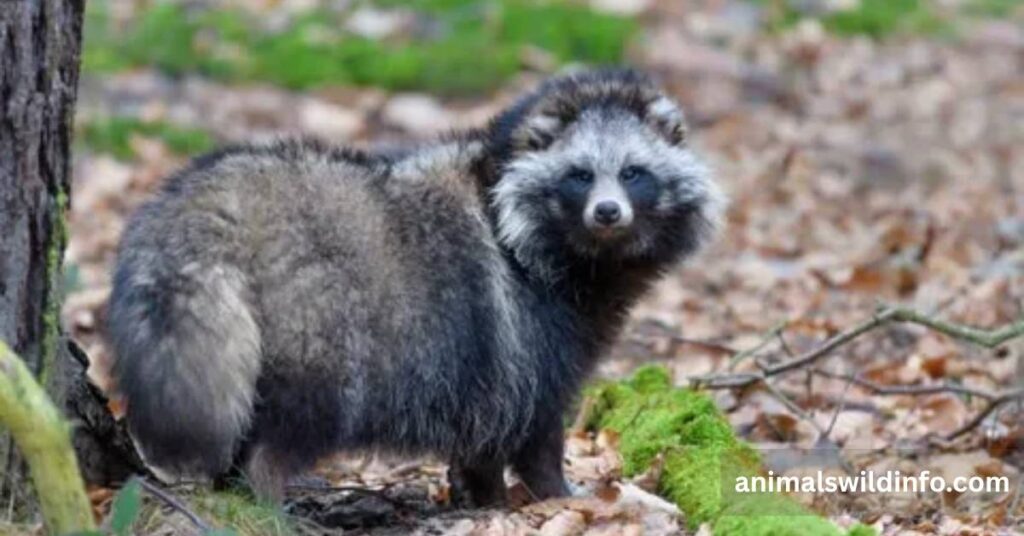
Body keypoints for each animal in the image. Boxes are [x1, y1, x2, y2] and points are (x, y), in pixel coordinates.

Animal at [106, 69, 725, 505]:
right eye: (579, 176)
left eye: (632, 173)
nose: (607, 212)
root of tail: (219, 206)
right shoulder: (531, 329)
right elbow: (533, 422)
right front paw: (556, 494)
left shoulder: (490, 366)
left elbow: (483, 438)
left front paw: (484, 498)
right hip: (319, 321)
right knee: (297, 422)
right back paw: (264, 497)